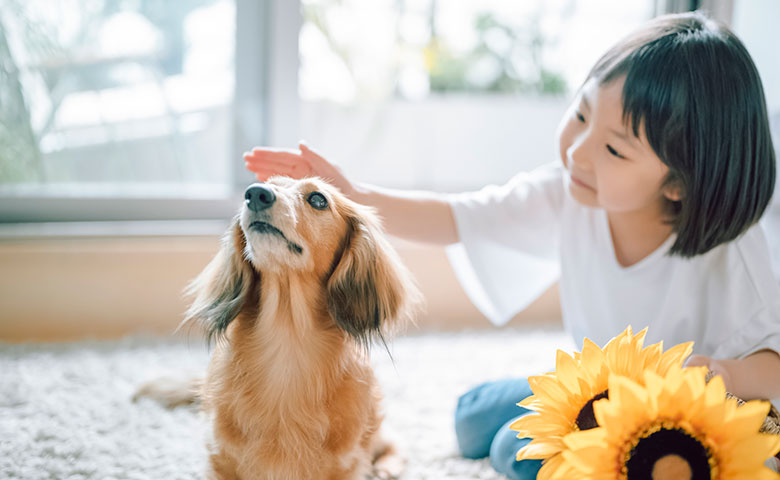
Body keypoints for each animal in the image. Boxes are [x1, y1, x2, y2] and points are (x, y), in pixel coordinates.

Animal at [137, 177, 424, 480]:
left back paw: (386, 467)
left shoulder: (346, 465)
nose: (255, 193)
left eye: (318, 199)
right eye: (265, 184)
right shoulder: (221, 461)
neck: (287, 344)